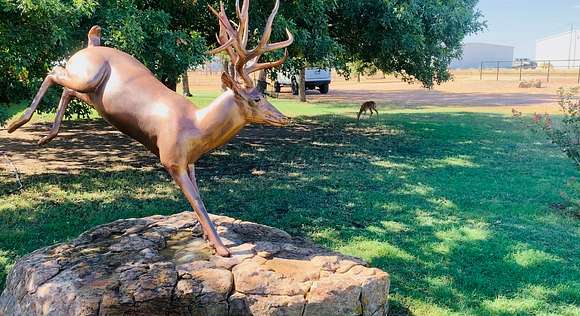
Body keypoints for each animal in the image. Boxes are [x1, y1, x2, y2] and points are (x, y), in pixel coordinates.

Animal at [4, 0, 292, 256]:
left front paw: (209, 240)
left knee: (66, 89)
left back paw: (46, 136)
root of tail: (91, 43)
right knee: (54, 71)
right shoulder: (171, 159)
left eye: (263, 94)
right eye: (256, 98)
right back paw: (15, 124)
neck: (197, 127)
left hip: (93, 94)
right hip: (86, 76)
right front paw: (222, 249)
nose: (284, 118)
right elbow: (197, 202)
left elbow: (200, 198)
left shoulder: (190, 162)